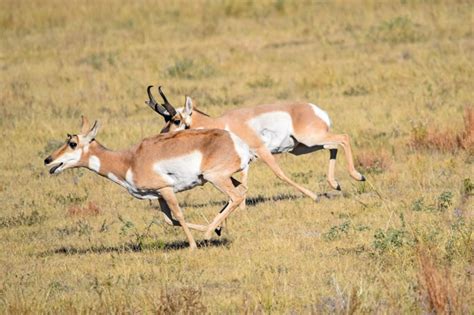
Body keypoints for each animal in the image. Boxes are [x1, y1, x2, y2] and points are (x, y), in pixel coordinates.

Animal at [44, 116, 252, 249]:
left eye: (72, 144)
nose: (47, 160)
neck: (128, 161)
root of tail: (237, 142)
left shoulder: (166, 189)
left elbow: (179, 215)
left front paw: (193, 245)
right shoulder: (158, 195)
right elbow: (170, 220)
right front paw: (215, 229)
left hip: (214, 177)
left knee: (236, 196)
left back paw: (208, 233)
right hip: (221, 178)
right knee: (242, 190)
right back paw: (215, 228)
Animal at [146, 86, 364, 205]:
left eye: (176, 120)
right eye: (166, 119)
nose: (161, 135)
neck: (222, 123)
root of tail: (314, 109)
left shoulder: (261, 151)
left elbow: (279, 174)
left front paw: (313, 196)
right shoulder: (247, 160)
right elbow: (243, 182)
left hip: (311, 141)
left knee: (343, 138)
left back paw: (358, 176)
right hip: (303, 147)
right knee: (333, 146)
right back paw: (336, 184)